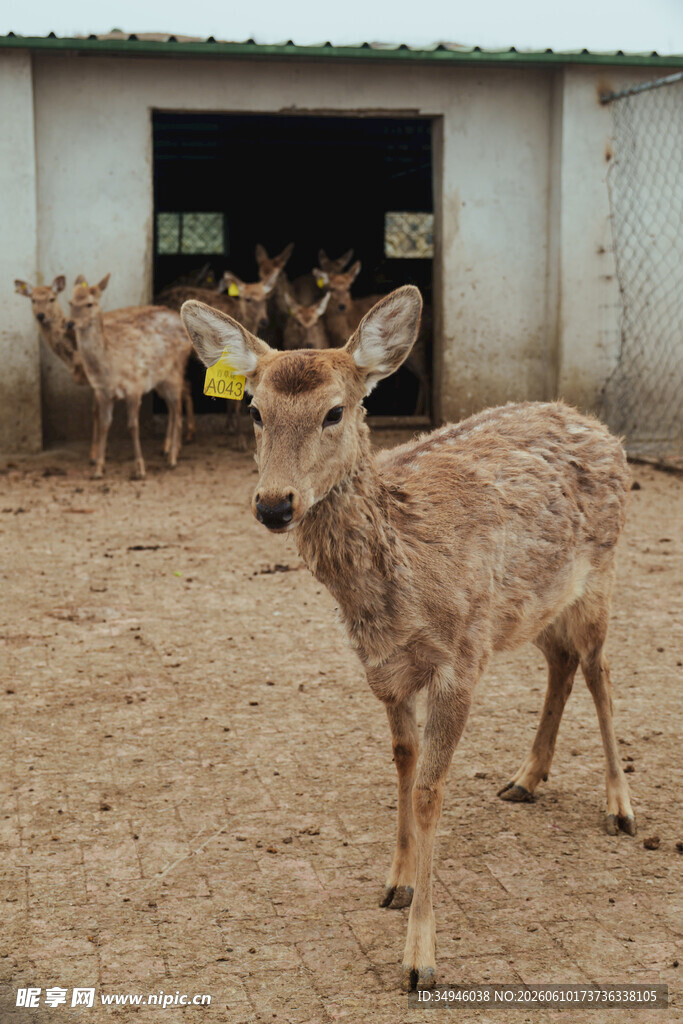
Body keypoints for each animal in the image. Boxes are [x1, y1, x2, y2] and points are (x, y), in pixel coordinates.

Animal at [15, 276, 196, 457]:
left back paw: (178, 442)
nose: (41, 315)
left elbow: (95, 412)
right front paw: (99, 450)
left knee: (180, 391)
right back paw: (175, 442)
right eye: (33, 299)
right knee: (182, 389)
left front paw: (94, 453)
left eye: (52, 298)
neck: (73, 354)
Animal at [67, 274, 192, 479]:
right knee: (173, 408)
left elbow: (132, 426)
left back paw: (173, 457)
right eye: (70, 302)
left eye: (89, 304)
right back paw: (168, 451)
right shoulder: (103, 393)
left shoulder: (134, 387)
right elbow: (104, 425)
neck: (109, 367)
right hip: (161, 380)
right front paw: (98, 469)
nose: (70, 323)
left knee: (178, 407)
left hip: (175, 370)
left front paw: (140, 469)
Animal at [181, 285, 636, 993]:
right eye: (254, 410)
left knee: (600, 671)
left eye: (335, 411)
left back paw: (620, 808)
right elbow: (402, 761)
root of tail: (599, 429)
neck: (400, 590)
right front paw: (395, 883)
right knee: (561, 663)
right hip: (532, 608)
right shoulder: (385, 667)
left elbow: (429, 789)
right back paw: (525, 778)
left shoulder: (460, 659)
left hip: (599, 576)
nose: (274, 504)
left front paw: (420, 957)